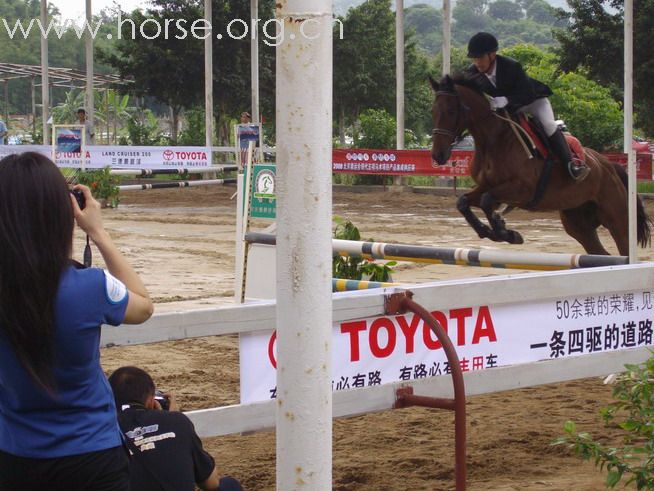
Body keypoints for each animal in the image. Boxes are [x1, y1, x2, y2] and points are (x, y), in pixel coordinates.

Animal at [430, 75, 654, 258]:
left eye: (451, 111)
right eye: (433, 111)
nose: (438, 155)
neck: (495, 140)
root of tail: (609, 165)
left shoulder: (523, 189)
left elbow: (486, 201)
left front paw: (506, 233)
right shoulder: (488, 187)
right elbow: (464, 202)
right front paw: (493, 232)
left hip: (616, 218)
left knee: (624, 248)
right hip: (578, 223)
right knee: (600, 253)